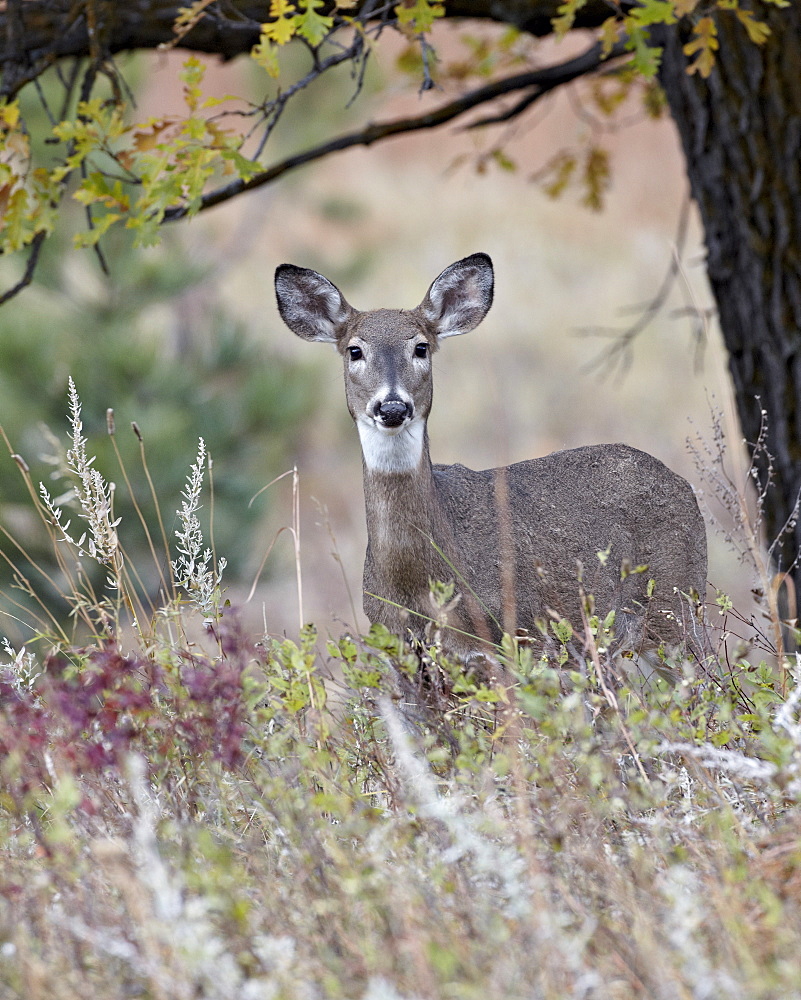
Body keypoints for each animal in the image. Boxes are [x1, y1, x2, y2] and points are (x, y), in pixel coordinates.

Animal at [276, 254, 708, 660]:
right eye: (354, 350)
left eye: (420, 347)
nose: (393, 407)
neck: (417, 585)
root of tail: (684, 483)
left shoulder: (522, 635)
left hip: (678, 604)